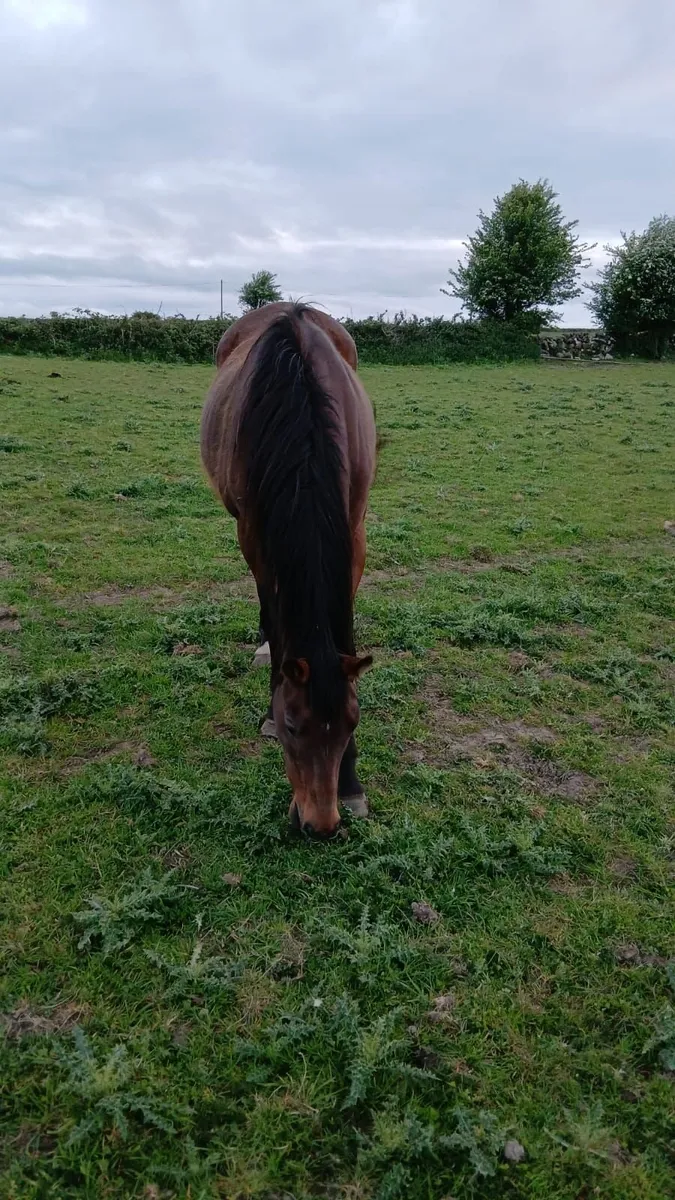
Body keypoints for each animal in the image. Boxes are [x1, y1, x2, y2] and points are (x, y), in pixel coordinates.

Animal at [201, 302, 377, 838]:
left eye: (352, 721)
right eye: (293, 726)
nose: (321, 825)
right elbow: (275, 614)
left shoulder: (353, 530)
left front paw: (352, 786)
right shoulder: (255, 532)